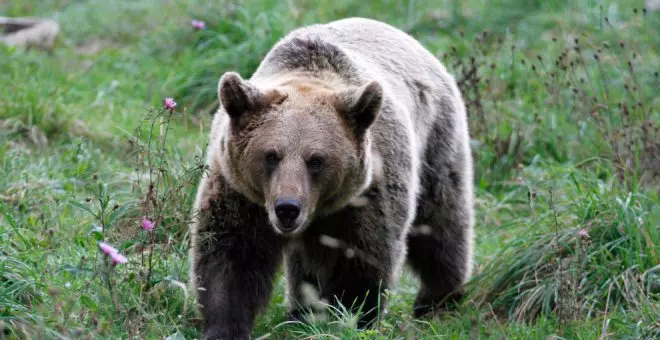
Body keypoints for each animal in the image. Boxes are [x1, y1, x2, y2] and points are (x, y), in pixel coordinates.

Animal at [188, 16, 472, 340]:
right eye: (271, 155)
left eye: (316, 160)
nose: (287, 208)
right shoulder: (240, 191)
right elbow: (231, 256)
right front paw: (225, 326)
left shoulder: (367, 193)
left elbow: (362, 260)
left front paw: (349, 318)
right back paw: (300, 312)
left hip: (437, 143)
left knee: (441, 226)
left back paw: (439, 299)